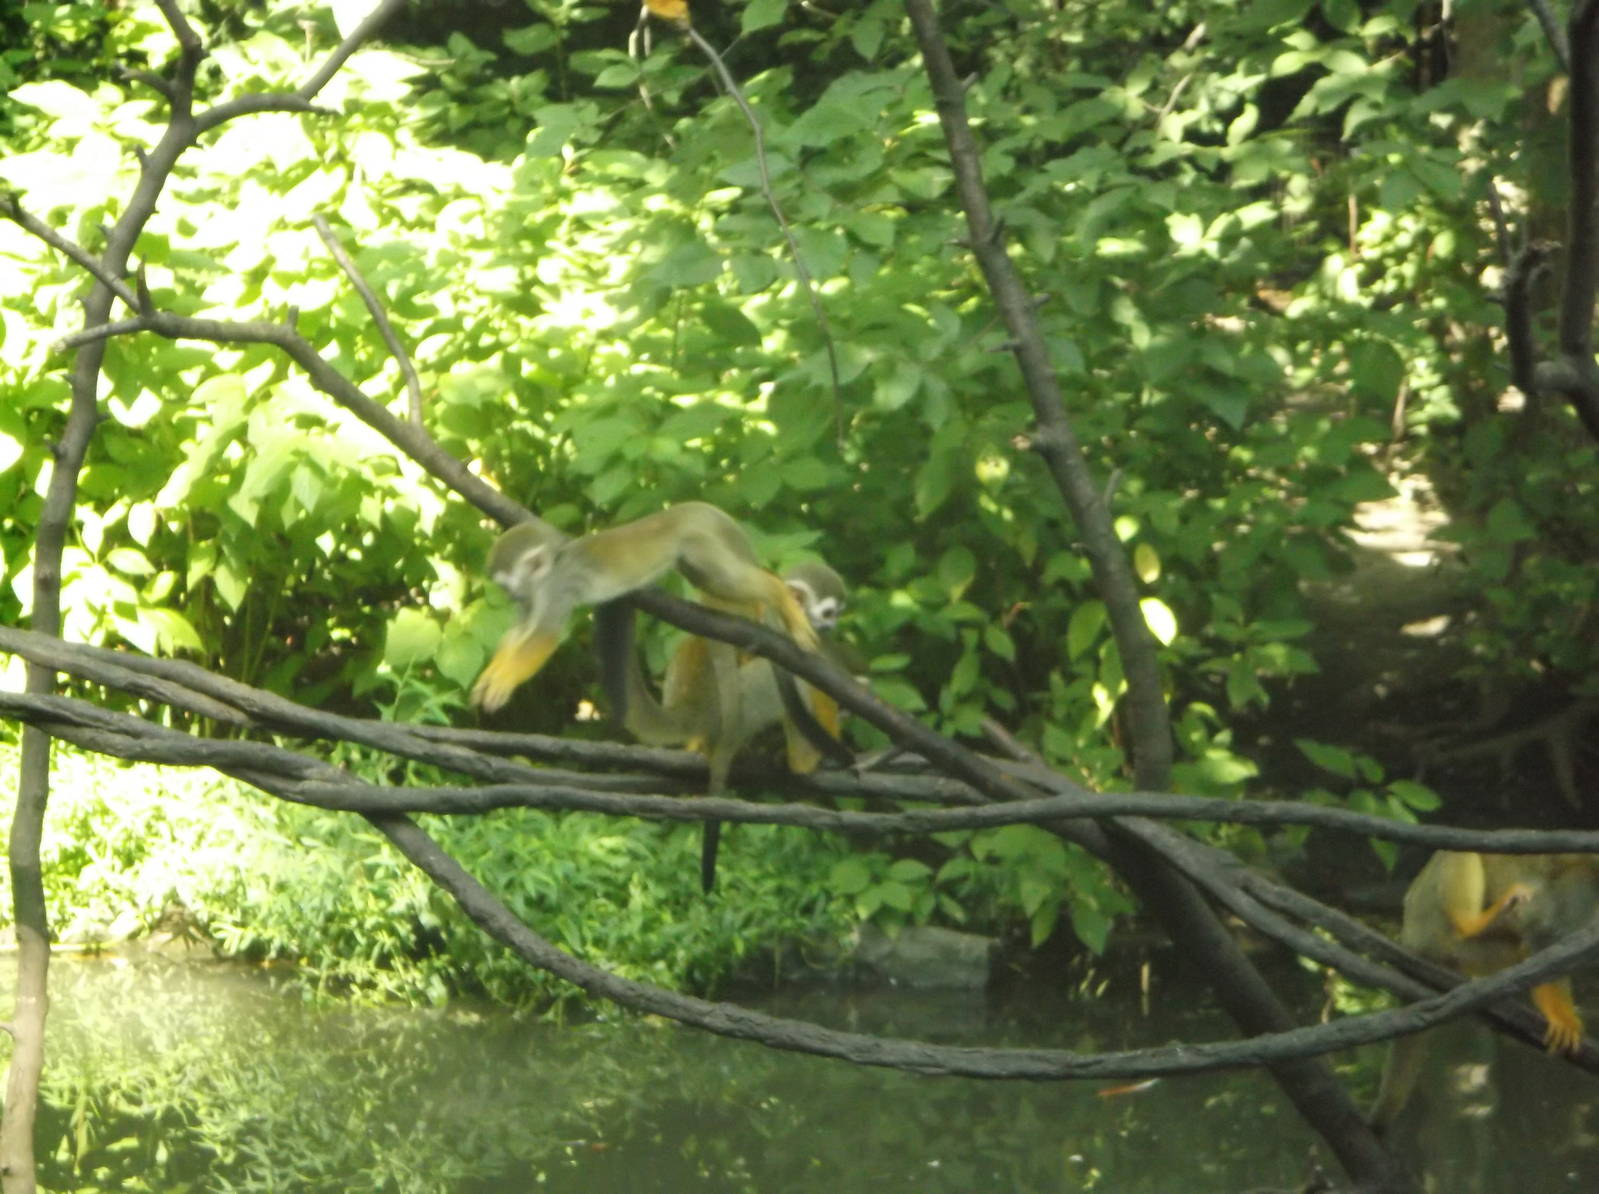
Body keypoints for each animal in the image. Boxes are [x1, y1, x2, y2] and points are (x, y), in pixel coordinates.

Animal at [471, 502, 821, 714]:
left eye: (505, 584)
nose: (510, 596)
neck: (545, 576)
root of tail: (694, 510)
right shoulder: (533, 596)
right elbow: (518, 633)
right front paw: (490, 676)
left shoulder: (558, 588)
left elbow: (542, 636)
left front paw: (505, 681)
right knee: (715, 582)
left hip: (699, 543)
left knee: (726, 578)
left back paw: (778, 595)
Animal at [1369, 851, 1599, 1131]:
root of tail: (1408, 936)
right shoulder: (1581, 878)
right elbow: (1543, 936)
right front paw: (1561, 1019)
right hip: (1429, 926)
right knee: (1458, 855)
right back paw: (1474, 923)